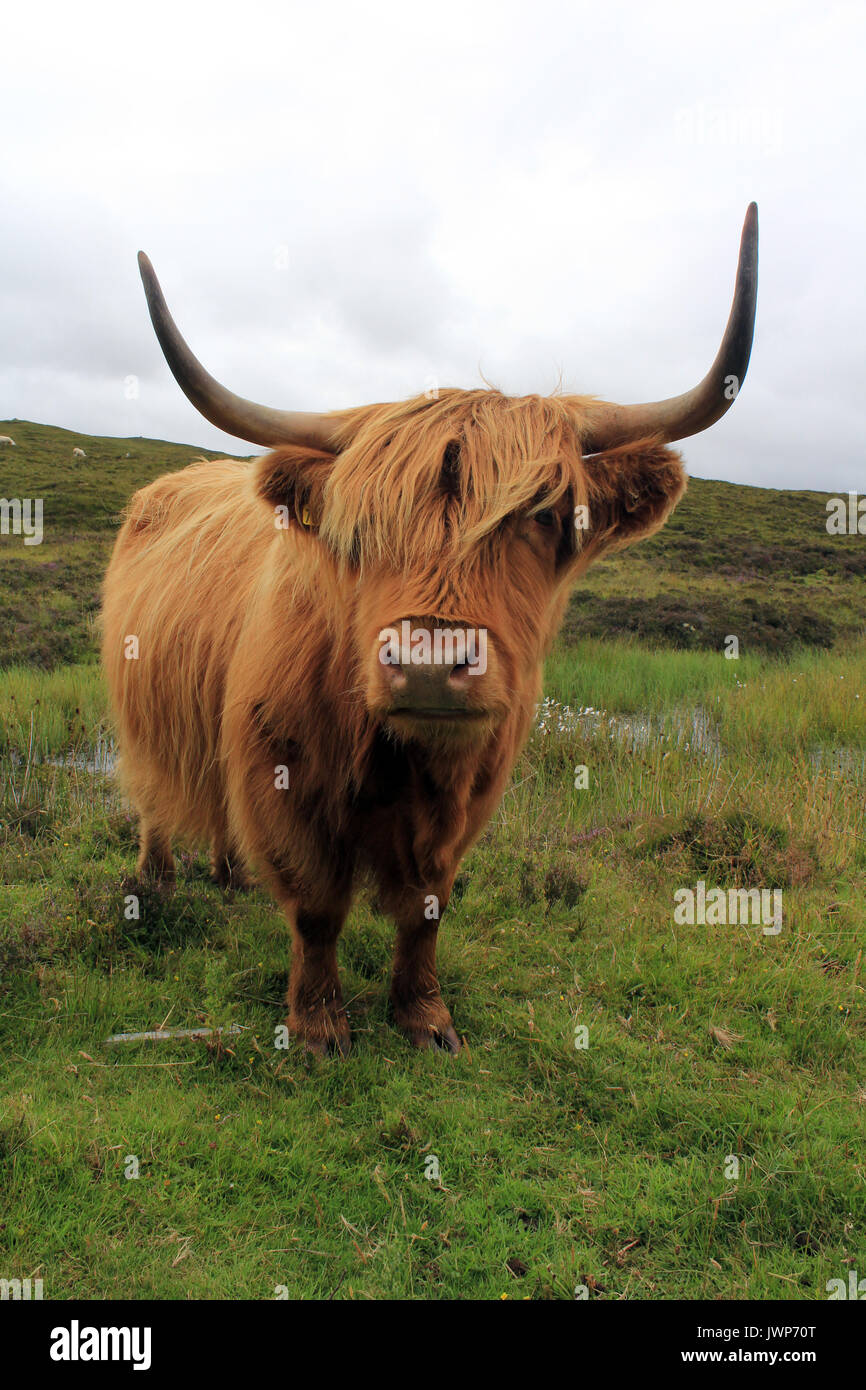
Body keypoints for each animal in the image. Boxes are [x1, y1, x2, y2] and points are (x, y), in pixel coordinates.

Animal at [102, 204, 758, 1056]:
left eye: (544, 514)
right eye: (358, 526)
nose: (427, 663)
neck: (393, 756)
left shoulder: (470, 792)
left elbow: (426, 910)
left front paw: (424, 1016)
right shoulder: (279, 777)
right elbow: (316, 910)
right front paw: (319, 1027)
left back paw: (230, 873)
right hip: (145, 713)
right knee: (154, 792)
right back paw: (159, 877)